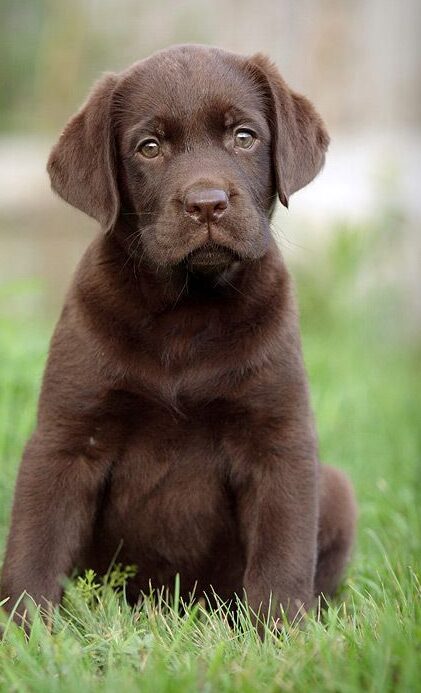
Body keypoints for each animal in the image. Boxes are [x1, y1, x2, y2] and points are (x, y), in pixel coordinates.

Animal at [0, 44, 354, 628]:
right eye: (149, 147)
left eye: (244, 136)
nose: (206, 203)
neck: (187, 311)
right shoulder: (65, 440)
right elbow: (35, 547)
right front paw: (25, 633)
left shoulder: (278, 441)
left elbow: (281, 556)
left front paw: (281, 634)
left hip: (337, 490)